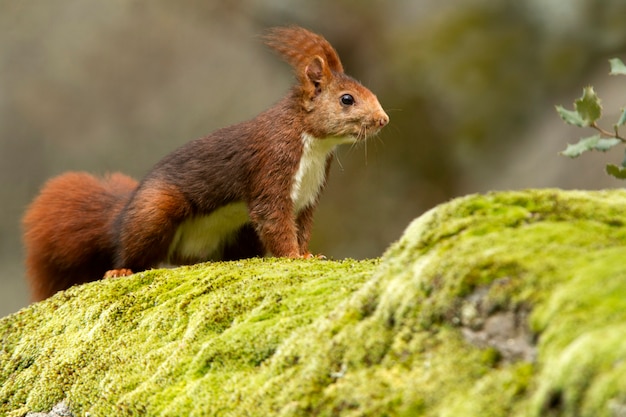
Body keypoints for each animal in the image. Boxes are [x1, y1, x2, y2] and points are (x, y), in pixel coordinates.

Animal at [22, 26, 388, 300]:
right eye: (346, 99)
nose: (383, 119)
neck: (314, 146)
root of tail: (123, 211)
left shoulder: (309, 193)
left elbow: (302, 226)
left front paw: (310, 253)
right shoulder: (271, 169)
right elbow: (274, 220)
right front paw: (294, 257)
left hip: (235, 234)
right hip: (155, 211)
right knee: (133, 247)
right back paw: (121, 269)